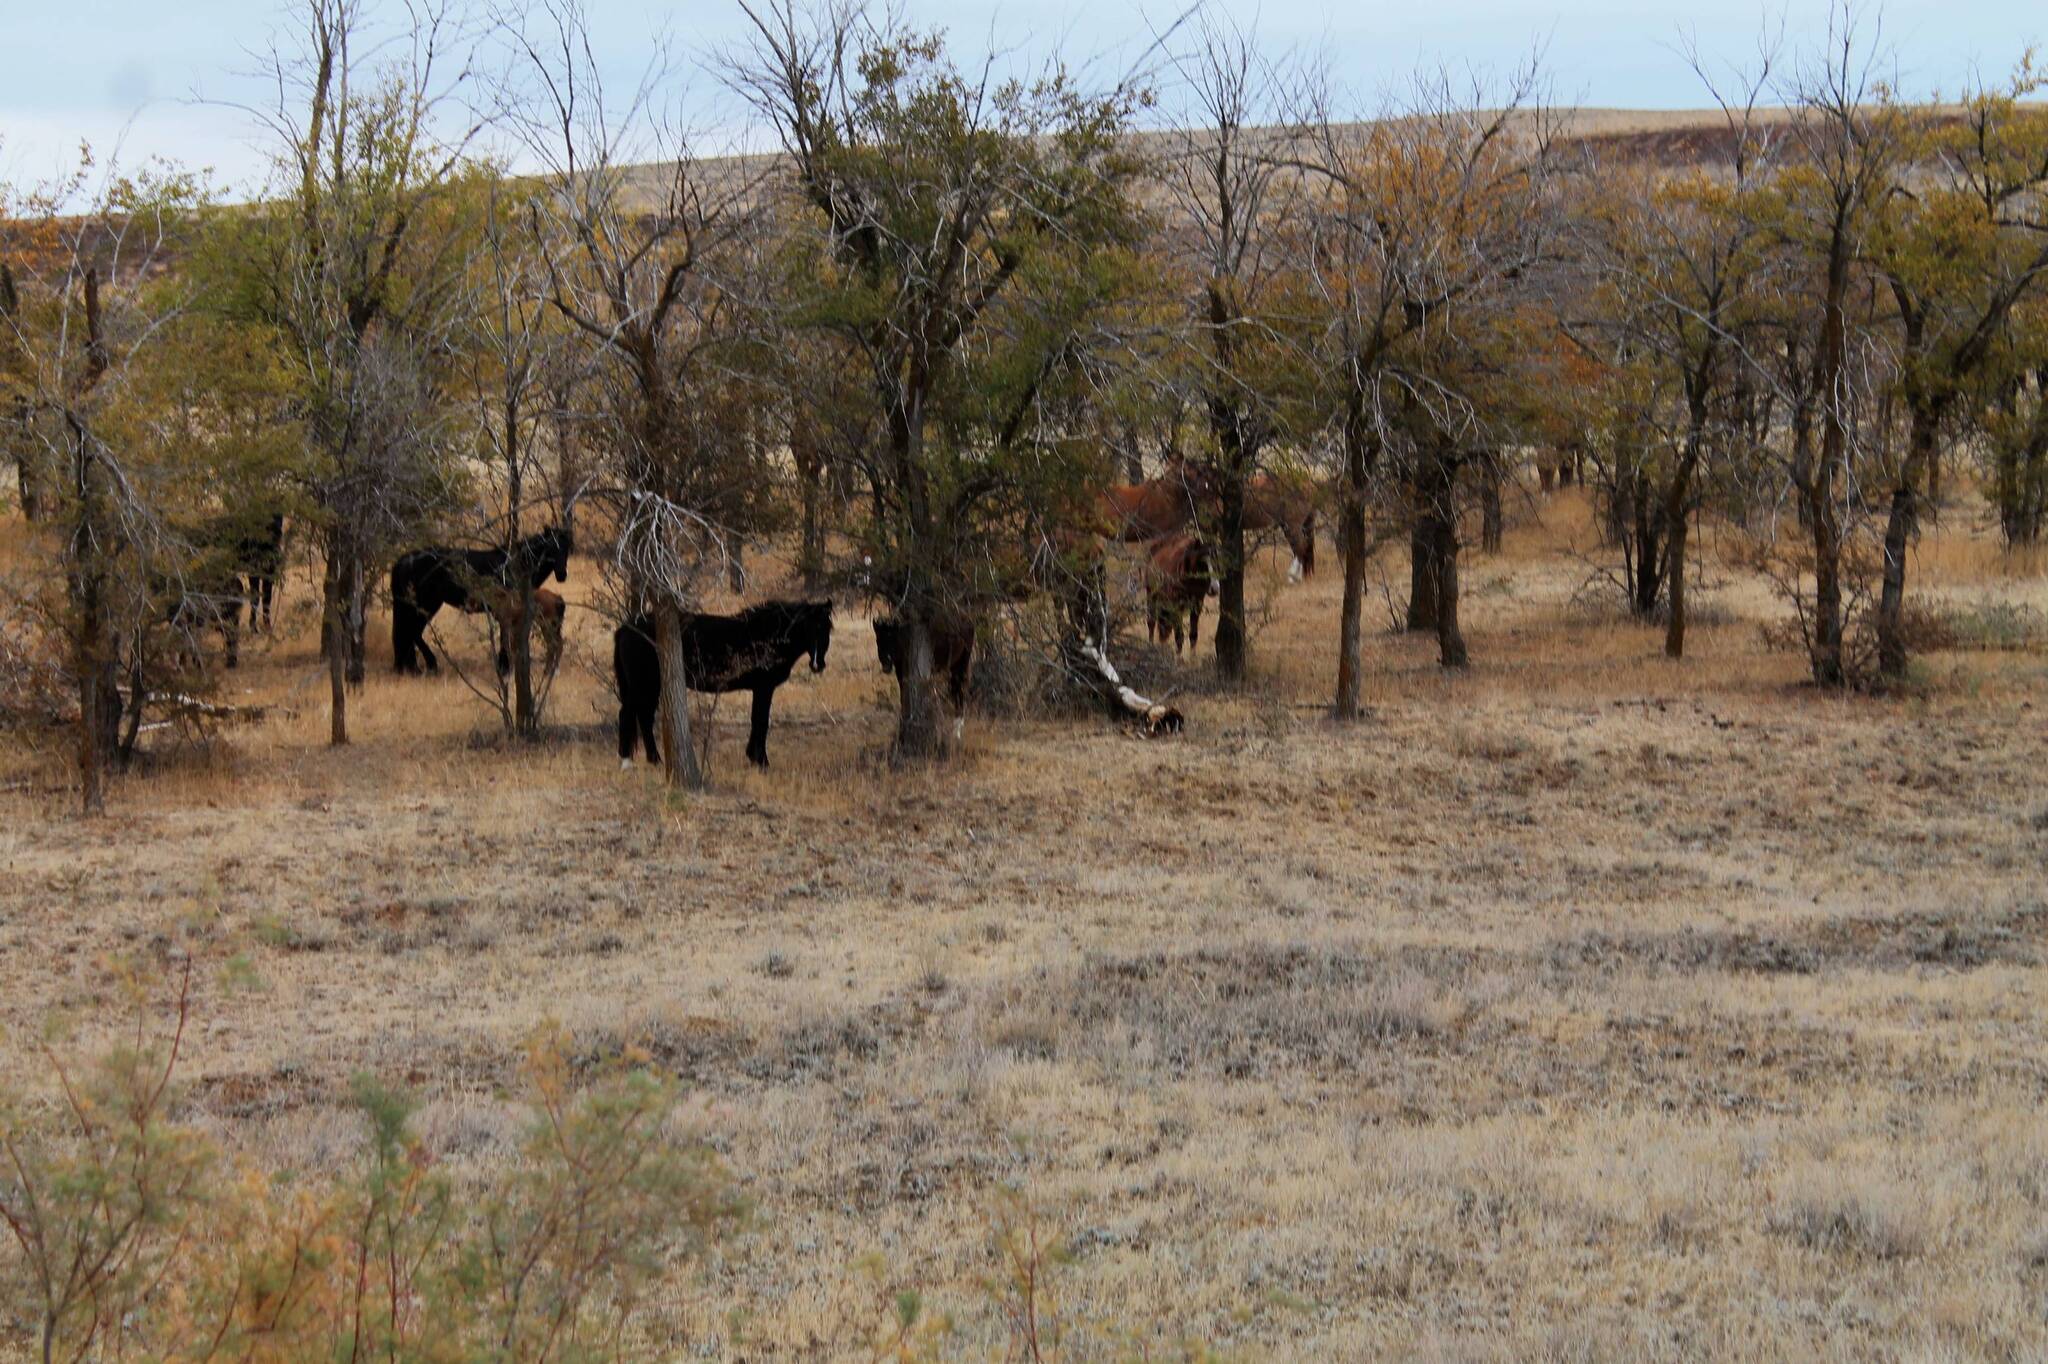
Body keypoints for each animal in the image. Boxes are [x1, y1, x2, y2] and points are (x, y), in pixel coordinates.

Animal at [391, 524, 573, 675]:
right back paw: (428, 665)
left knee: (408, 633)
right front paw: (504, 668)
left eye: (567, 548)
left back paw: (411, 667)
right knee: (412, 632)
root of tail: (404, 559)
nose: (562, 575)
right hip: (426, 604)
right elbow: (505, 640)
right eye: (550, 547)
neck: (517, 564)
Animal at [606, 602, 831, 770]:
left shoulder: (760, 689)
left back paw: (654, 760)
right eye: (810, 627)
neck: (768, 634)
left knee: (643, 718)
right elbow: (761, 722)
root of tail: (626, 627)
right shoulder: (764, 688)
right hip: (644, 684)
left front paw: (753, 757)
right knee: (630, 715)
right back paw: (629, 761)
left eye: (828, 628)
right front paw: (761, 761)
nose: (817, 665)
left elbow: (757, 720)